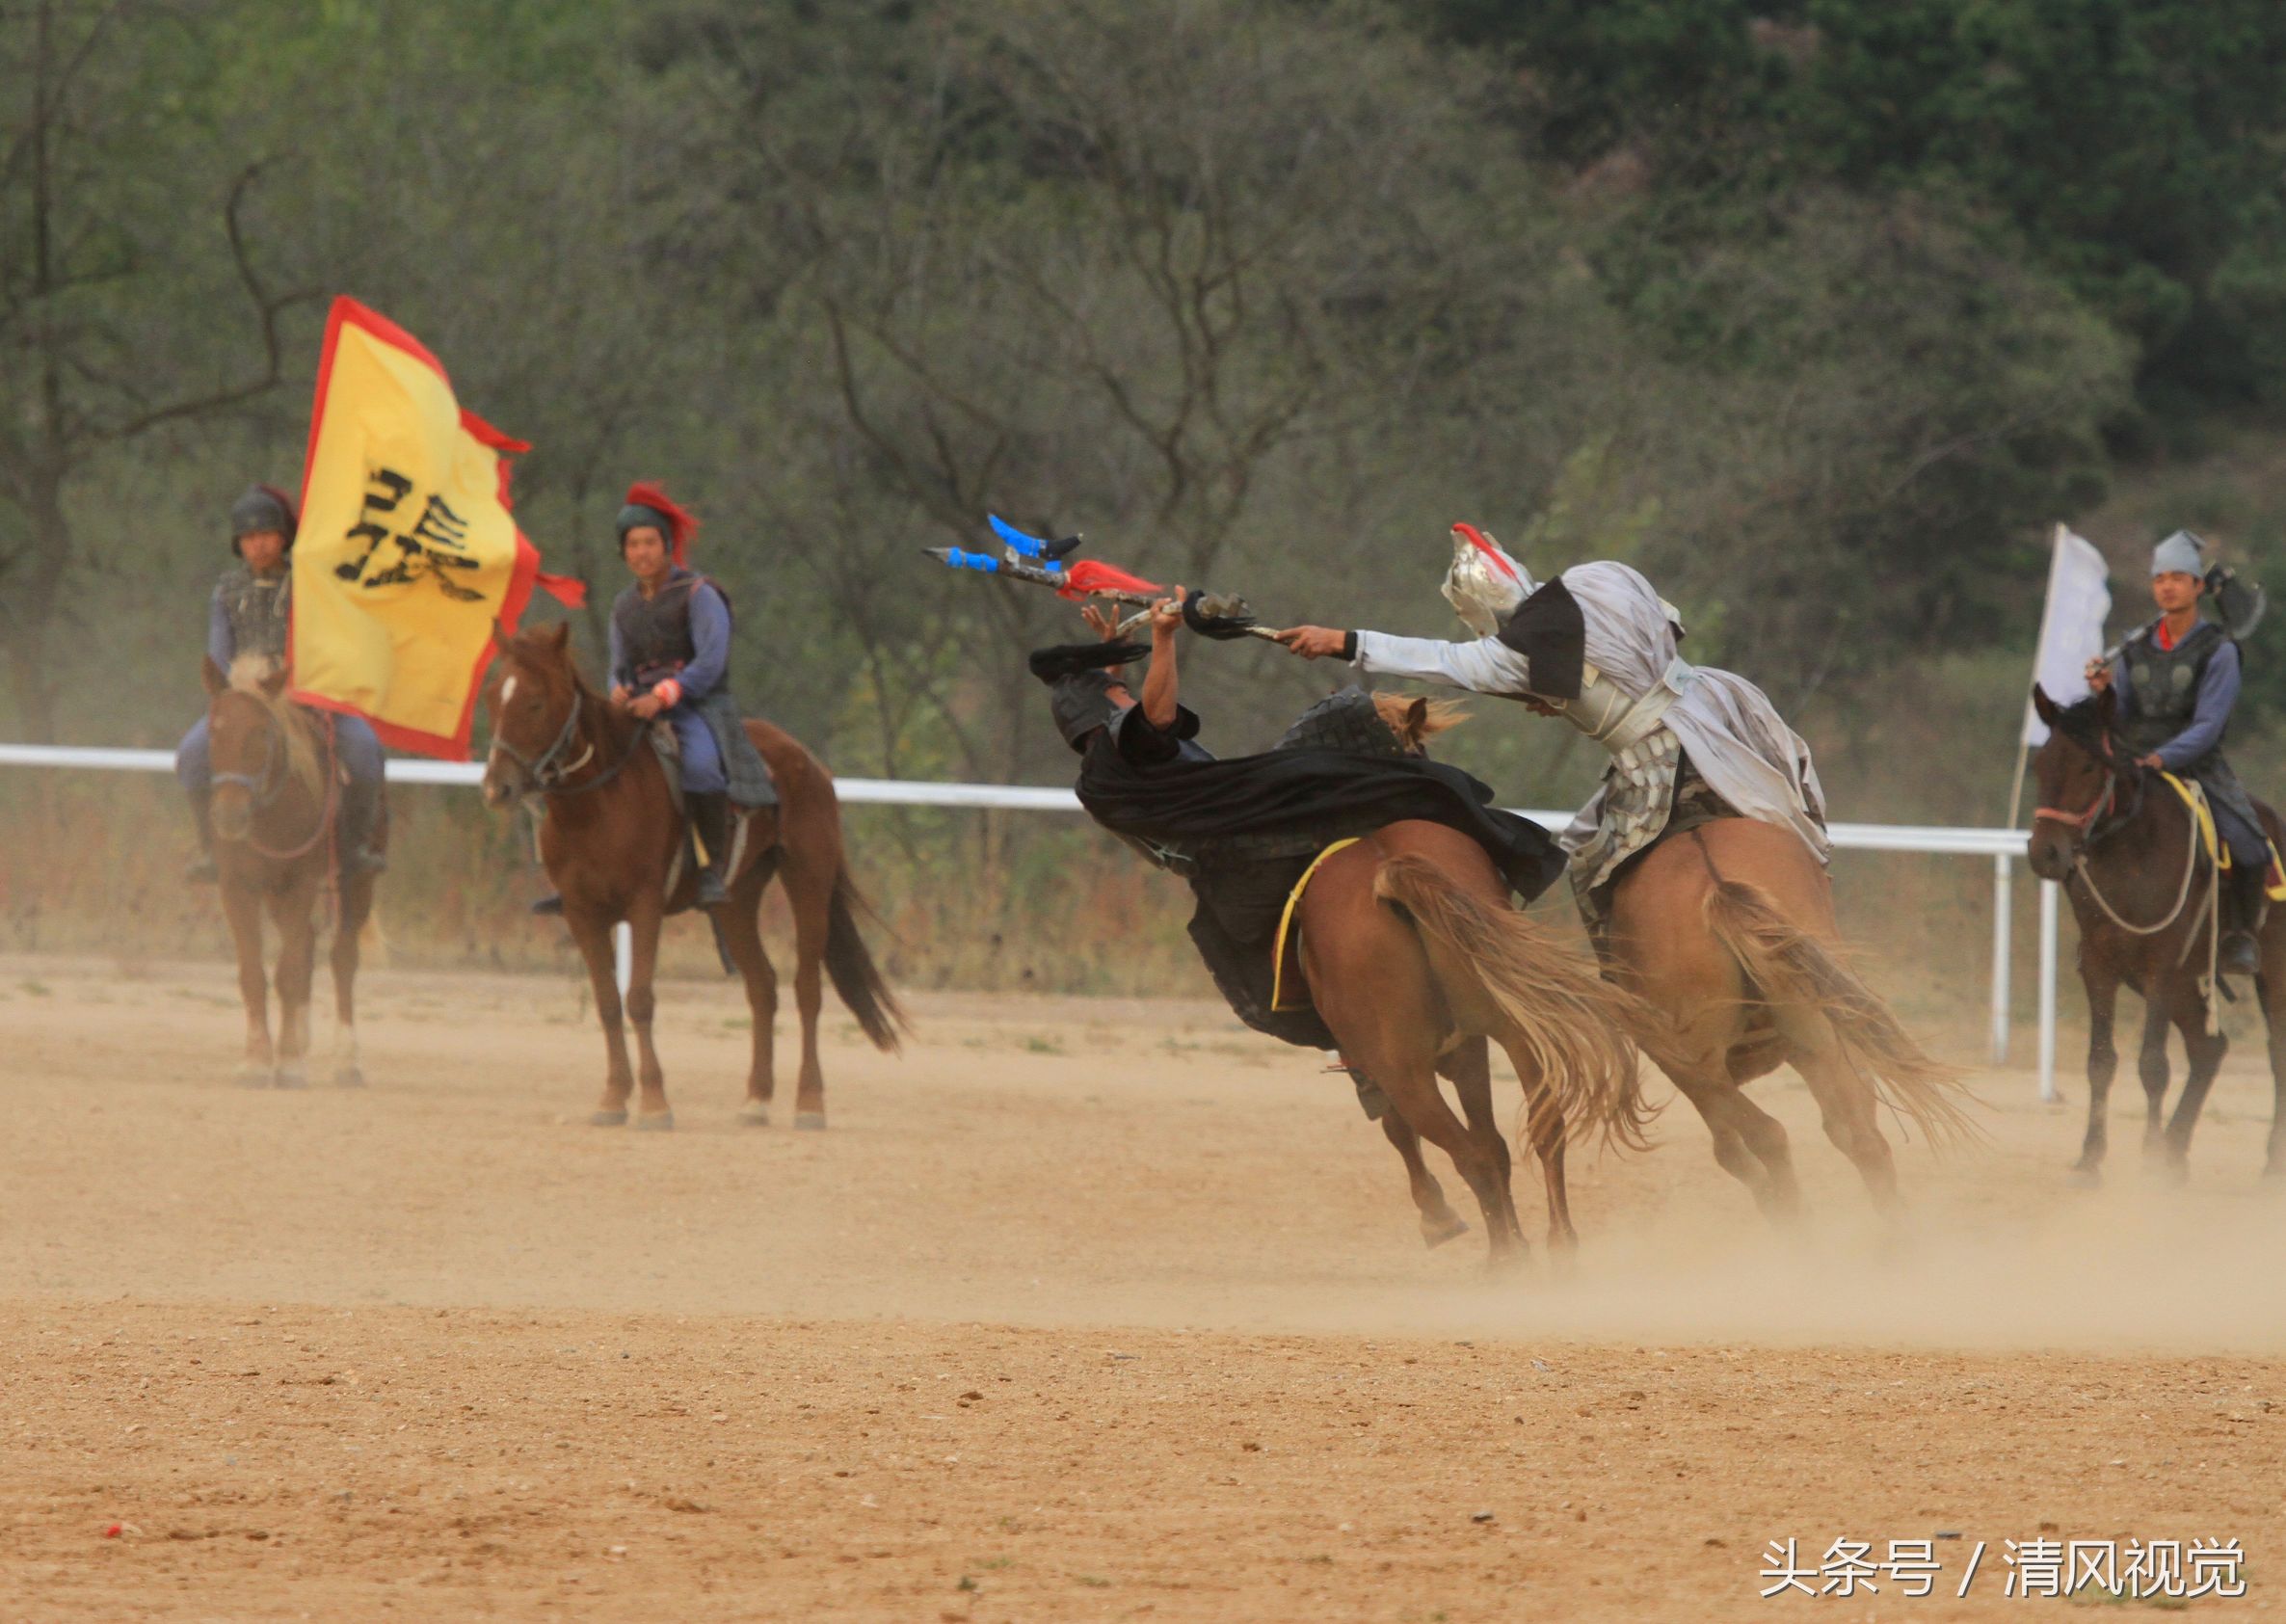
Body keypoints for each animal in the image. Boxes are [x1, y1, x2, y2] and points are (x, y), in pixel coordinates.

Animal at [201, 653, 384, 1088]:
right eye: (214, 731)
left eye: (262, 732)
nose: (229, 815)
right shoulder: (237, 887)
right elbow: (255, 973)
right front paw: (256, 1061)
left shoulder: (300, 883)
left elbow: (288, 972)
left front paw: (285, 1064)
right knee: (305, 953)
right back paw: (300, 1040)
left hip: (357, 884)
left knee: (341, 960)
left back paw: (346, 1061)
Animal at [473, 622, 900, 1134]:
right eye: (494, 696)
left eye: (535, 702)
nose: (497, 788)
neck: (597, 805)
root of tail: (807, 762)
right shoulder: (581, 912)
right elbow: (607, 1003)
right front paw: (613, 1099)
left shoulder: (644, 905)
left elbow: (639, 998)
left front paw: (655, 1104)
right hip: (737, 900)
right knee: (762, 986)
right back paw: (755, 1101)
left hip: (808, 881)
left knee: (807, 989)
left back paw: (809, 1104)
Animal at [1298, 818, 1655, 1263]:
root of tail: (1388, 872)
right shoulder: (1469, 1053)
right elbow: (1494, 1144)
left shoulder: (1385, 1067)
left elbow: (1404, 1131)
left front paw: (1439, 1217)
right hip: (1516, 1028)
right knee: (1542, 1128)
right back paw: (1558, 1246)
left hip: (1405, 1075)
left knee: (1467, 1156)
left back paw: (1504, 1259)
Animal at [1600, 818, 1975, 1216]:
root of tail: (1717, 884)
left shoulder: (1679, 1063)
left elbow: (1730, 1151)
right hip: (1817, 1028)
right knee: (1857, 1135)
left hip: (1696, 1061)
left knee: (1765, 1134)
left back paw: (1794, 1217)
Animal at [2030, 681, 2276, 1180]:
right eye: (2042, 762)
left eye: (2088, 765)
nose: (2045, 852)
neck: (2131, 851)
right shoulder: (2102, 966)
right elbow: (2100, 1062)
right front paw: (2091, 1158)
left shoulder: (2161, 965)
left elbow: (2153, 1065)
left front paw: (2148, 1161)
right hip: (2185, 981)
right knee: (2208, 1048)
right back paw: (2176, 1150)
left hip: (2266, 975)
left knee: (2273, 1053)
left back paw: (2269, 1162)